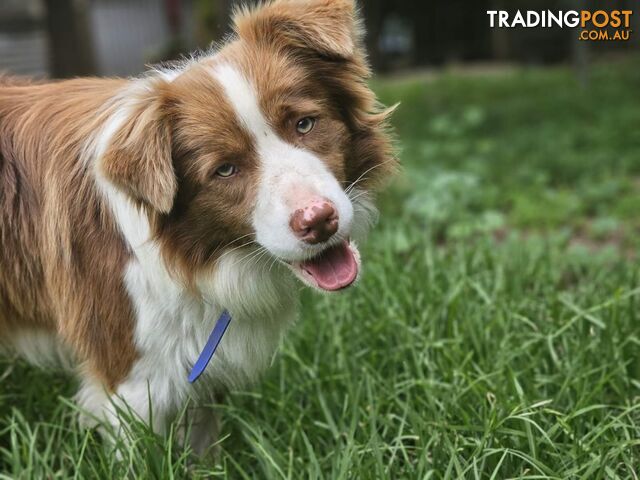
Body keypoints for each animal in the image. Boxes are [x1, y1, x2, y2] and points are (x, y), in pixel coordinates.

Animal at [0, 0, 396, 454]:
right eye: (225, 170)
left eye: (304, 124)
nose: (318, 221)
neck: (194, 254)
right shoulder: (131, 379)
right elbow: (144, 454)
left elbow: (201, 444)